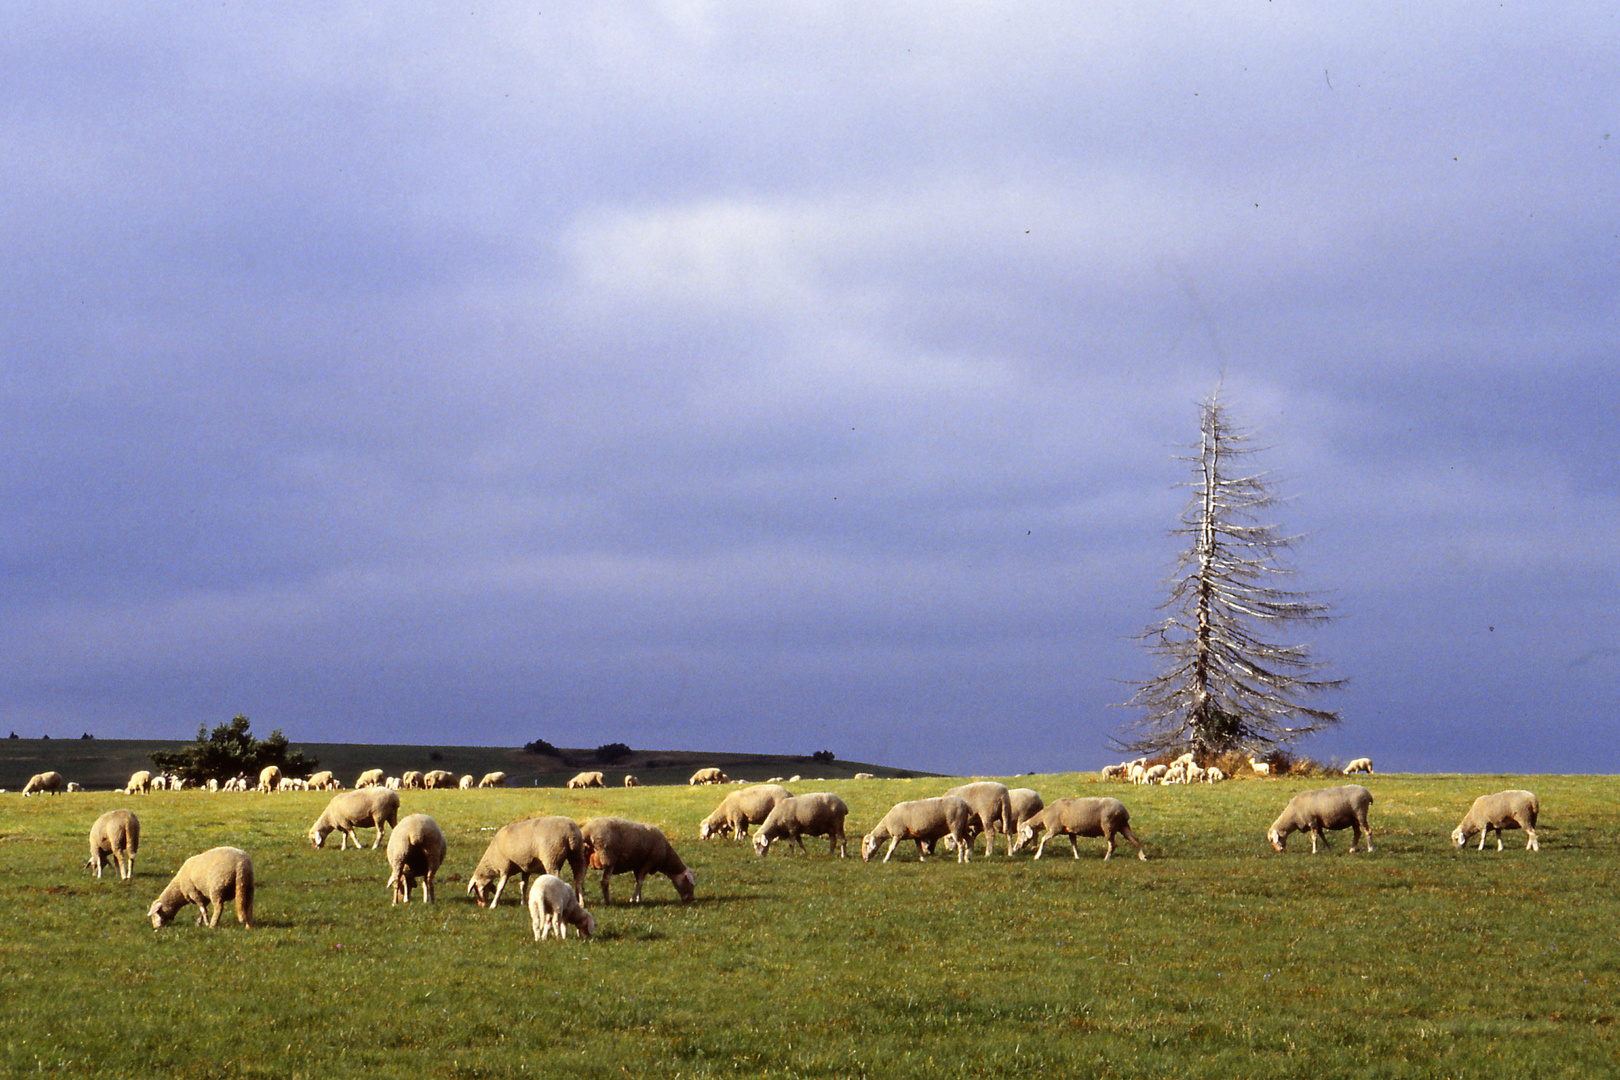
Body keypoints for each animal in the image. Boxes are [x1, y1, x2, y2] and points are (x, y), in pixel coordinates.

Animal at [1017, 793, 1146, 861]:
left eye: (1022, 832)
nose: (1018, 846)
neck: (1044, 817)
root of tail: (1123, 810)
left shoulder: (1055, 829)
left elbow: (1043, 839)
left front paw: (1037, 855)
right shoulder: (1071, 831)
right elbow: (1074, 844)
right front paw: (1077, 857)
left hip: (1108, 825)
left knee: (1112, 844)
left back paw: (1107, 858)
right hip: (1123, 825)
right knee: (1135, 840)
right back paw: (1142, 856)